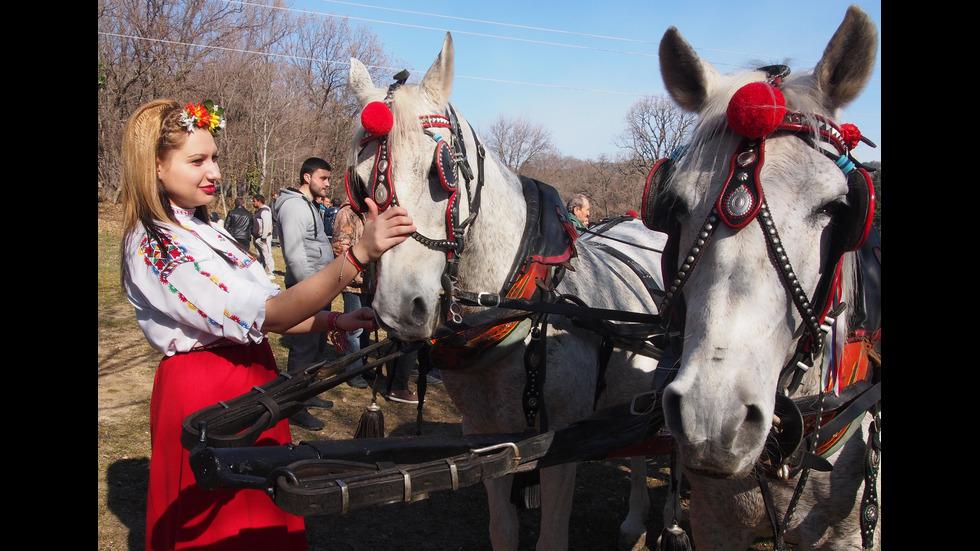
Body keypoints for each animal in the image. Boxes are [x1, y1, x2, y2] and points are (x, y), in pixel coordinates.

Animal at [348, 34, 668, 551]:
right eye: (358, 184)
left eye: (442, 171)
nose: (400, 308)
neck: (521, 305)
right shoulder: (485, 437)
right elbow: (503, 528)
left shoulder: (560, 445)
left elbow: (551, 537)